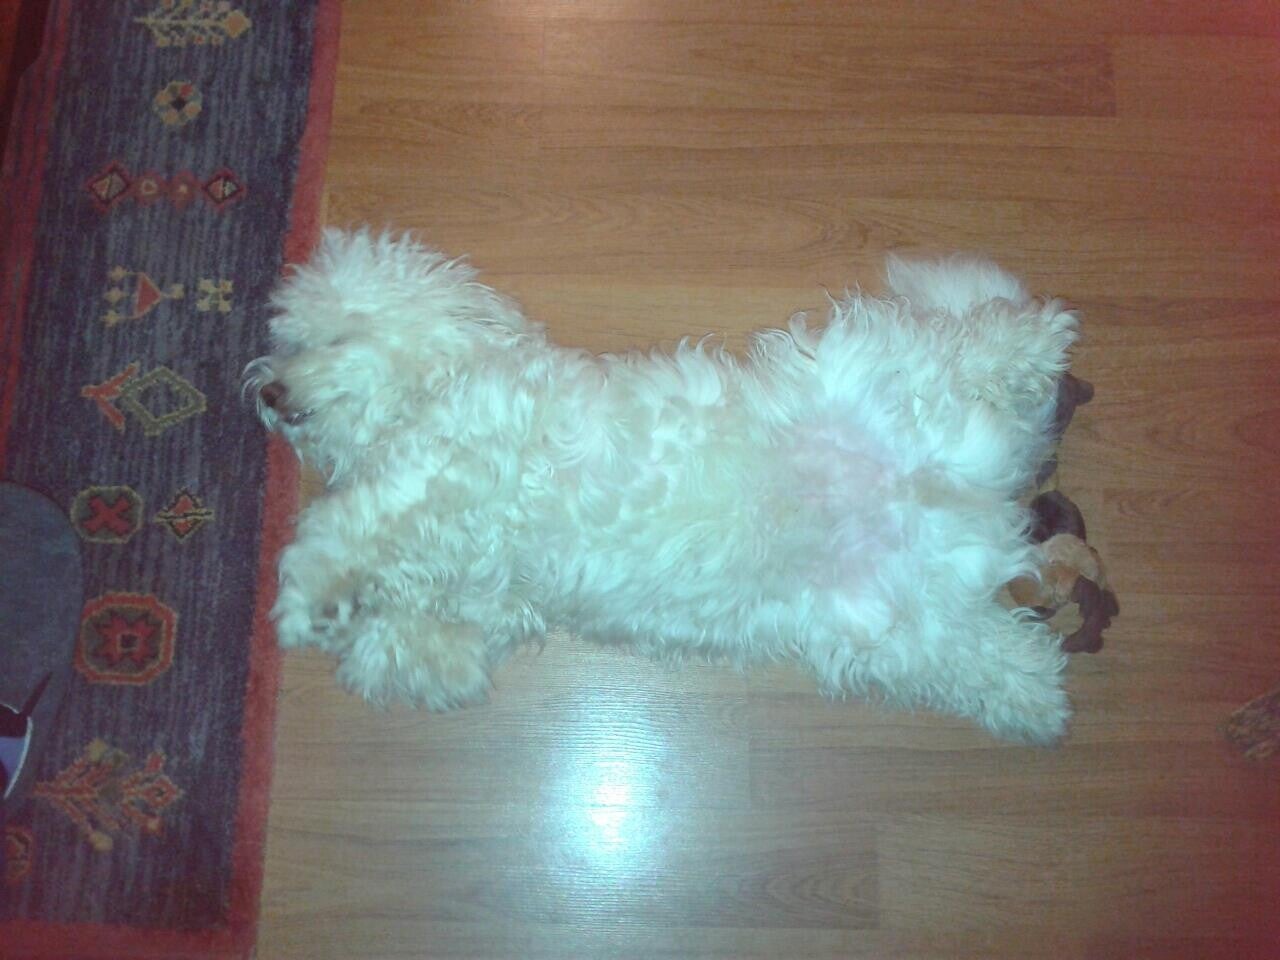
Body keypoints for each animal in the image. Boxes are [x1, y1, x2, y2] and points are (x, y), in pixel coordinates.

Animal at [246, 229, 1083, 744]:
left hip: (881, 372)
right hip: (904, 636)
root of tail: (970, 504)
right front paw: (345, 616)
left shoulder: (453, 463)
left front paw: (305, 597)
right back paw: (1042, 705)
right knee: (999, 662)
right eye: (289, 340)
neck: (429, 390)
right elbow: (407, 644)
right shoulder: (482, 613)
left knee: (973, 345)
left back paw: (1037, 339)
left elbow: (353, 524)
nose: (271, 392)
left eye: (337, 336)